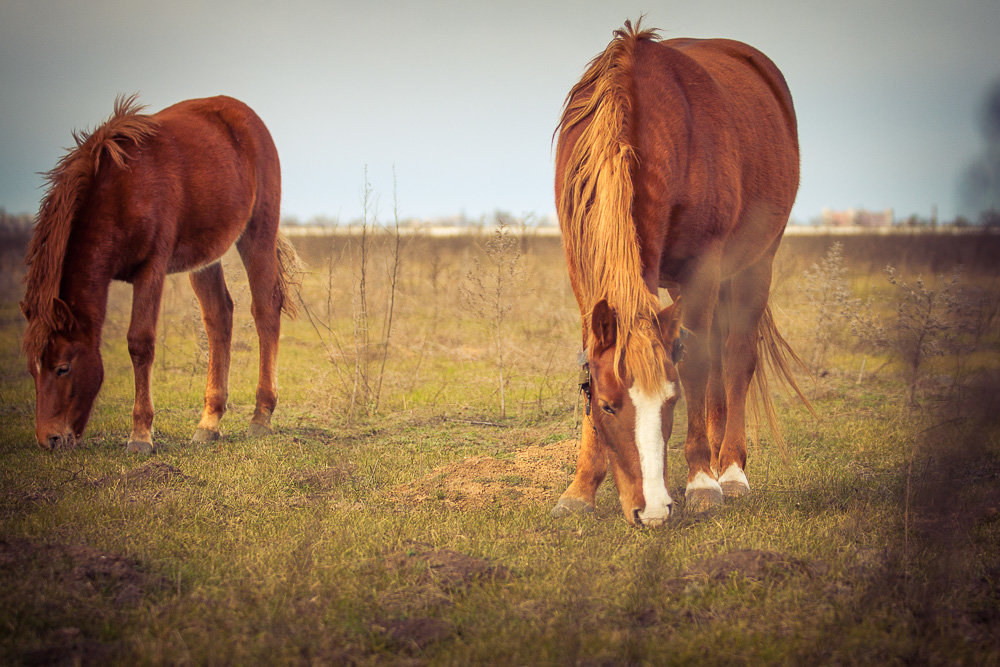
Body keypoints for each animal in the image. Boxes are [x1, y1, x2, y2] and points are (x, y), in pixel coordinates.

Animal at [21, 95, 298, 454]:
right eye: (32, 370)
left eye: (63, 368)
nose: (49, 439)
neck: (120, 192)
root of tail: (243, 114)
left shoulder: (151, 269)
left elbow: (140, 344)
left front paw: (140, 435)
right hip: (205, 256)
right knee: (219, 317)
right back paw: (208, 423)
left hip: (257, 232)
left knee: (265, 308)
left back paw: (261, 416)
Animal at [552, 22, 808, 528]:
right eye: (608, 405)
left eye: (670, 402)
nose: (651, 511)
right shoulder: (583, 272)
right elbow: (593, 356)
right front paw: (580, 489)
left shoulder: (704, 267)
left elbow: (696, 367)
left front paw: (703, 482)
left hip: (755, 266)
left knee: (735, 358)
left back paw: (730, 470)